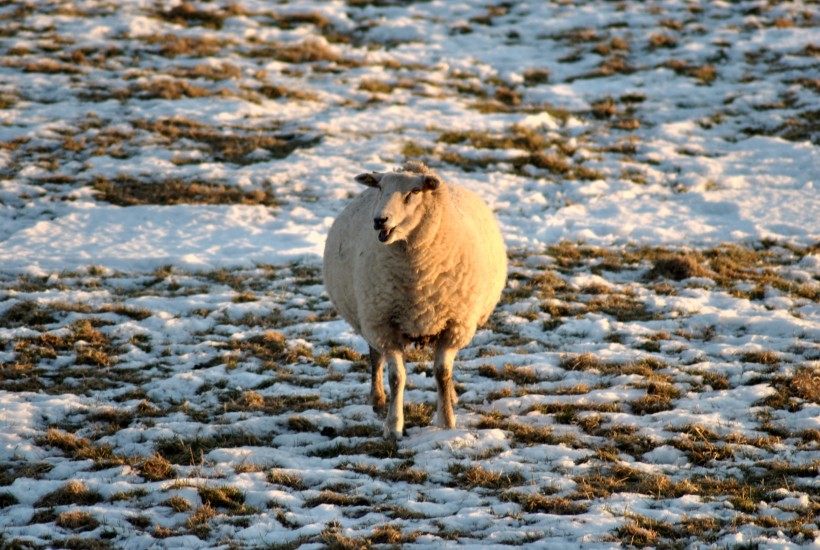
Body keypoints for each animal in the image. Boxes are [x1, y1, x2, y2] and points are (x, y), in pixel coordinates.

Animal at [322, 161, 506, 440]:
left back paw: (451, 396)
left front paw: (447, 420)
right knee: (375, 357)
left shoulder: (454, 325)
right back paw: (377, 400)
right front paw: (393, 426)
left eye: (414, 192)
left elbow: (442, 373)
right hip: (368, 316)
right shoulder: (384, 325)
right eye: (380, 188)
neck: (416, 277)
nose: (379, 220)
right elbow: (397, 377)